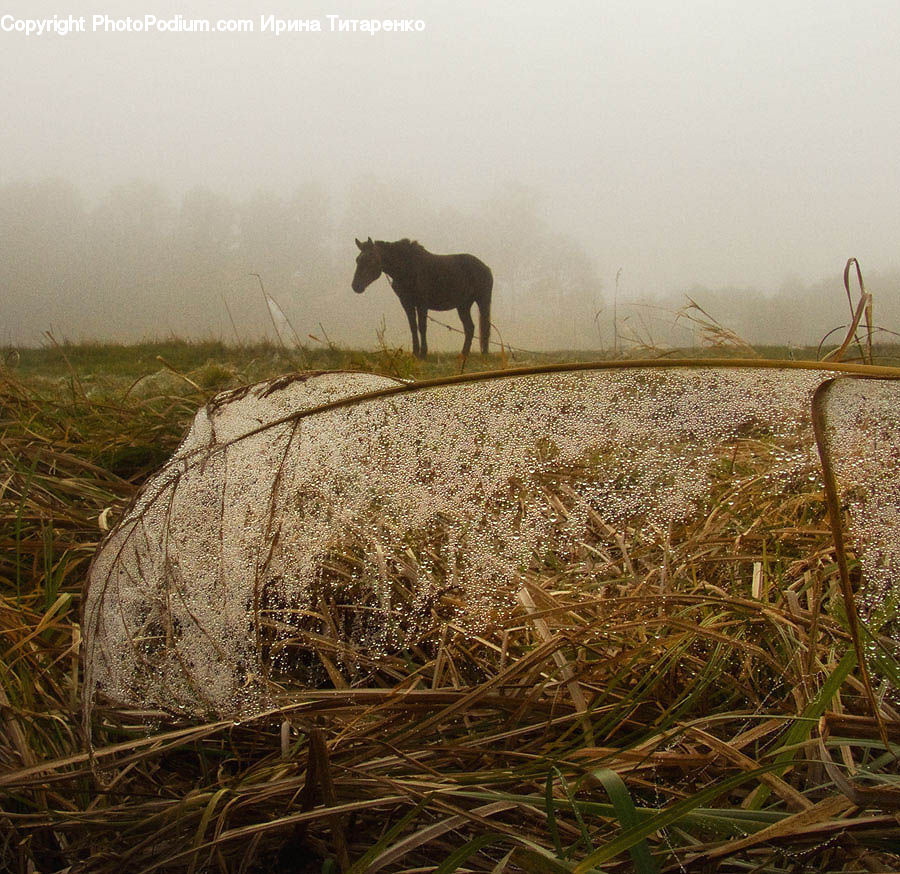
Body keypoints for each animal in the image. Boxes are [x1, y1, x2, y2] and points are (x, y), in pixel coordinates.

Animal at [352, 237, 493, 359]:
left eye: (371, 260)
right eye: (357, 260)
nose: (356, 286)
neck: (408, 269)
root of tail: (486, 267)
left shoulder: (422, 304)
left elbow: (422, 326)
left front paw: (423, 353)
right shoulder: (407, 303)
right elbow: (413, 327)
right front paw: (415, 352)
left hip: (483, 302)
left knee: (484, 326)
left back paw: (484, 354)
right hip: (463, 306)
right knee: (469, 328)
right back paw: (463, 354)